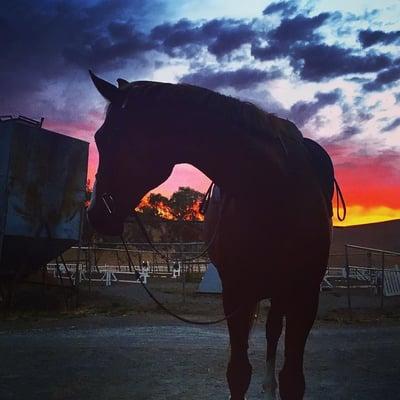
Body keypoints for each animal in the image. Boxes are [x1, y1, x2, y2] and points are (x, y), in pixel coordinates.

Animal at [86, 72, 334, 400]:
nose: (95, 213)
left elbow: (293, 380)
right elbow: (238, 373)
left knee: (272, 333)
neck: (273, 189)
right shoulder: (237, 292)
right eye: (99, 138)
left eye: (109, 138)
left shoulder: (305, 294)